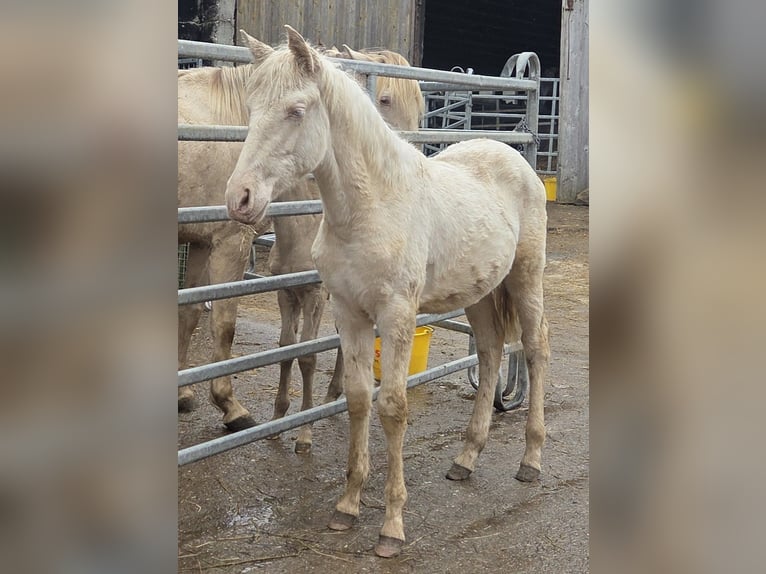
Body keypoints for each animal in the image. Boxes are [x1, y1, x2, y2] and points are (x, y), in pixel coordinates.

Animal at [178, 44, 424, 441]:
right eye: (385, 99)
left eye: (421, 105)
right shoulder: (232, 241)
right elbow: (224, 326)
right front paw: (231, 407)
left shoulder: (201, 240)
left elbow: (189, 315)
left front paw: (184, 394)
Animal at [226, 26, 550, 558]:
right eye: (251, 109)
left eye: (296, 110)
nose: (240, 199)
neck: (371, 207)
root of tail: (513, 156)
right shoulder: (348, 312)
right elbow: (359, 398)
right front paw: (347, 506)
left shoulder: (397, 314)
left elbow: (393, 407)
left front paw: (391, 527)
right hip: (482, 293)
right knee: (489, 353)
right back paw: (466, 458)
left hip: (525, 278)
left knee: (537, 349)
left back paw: (531, 461)